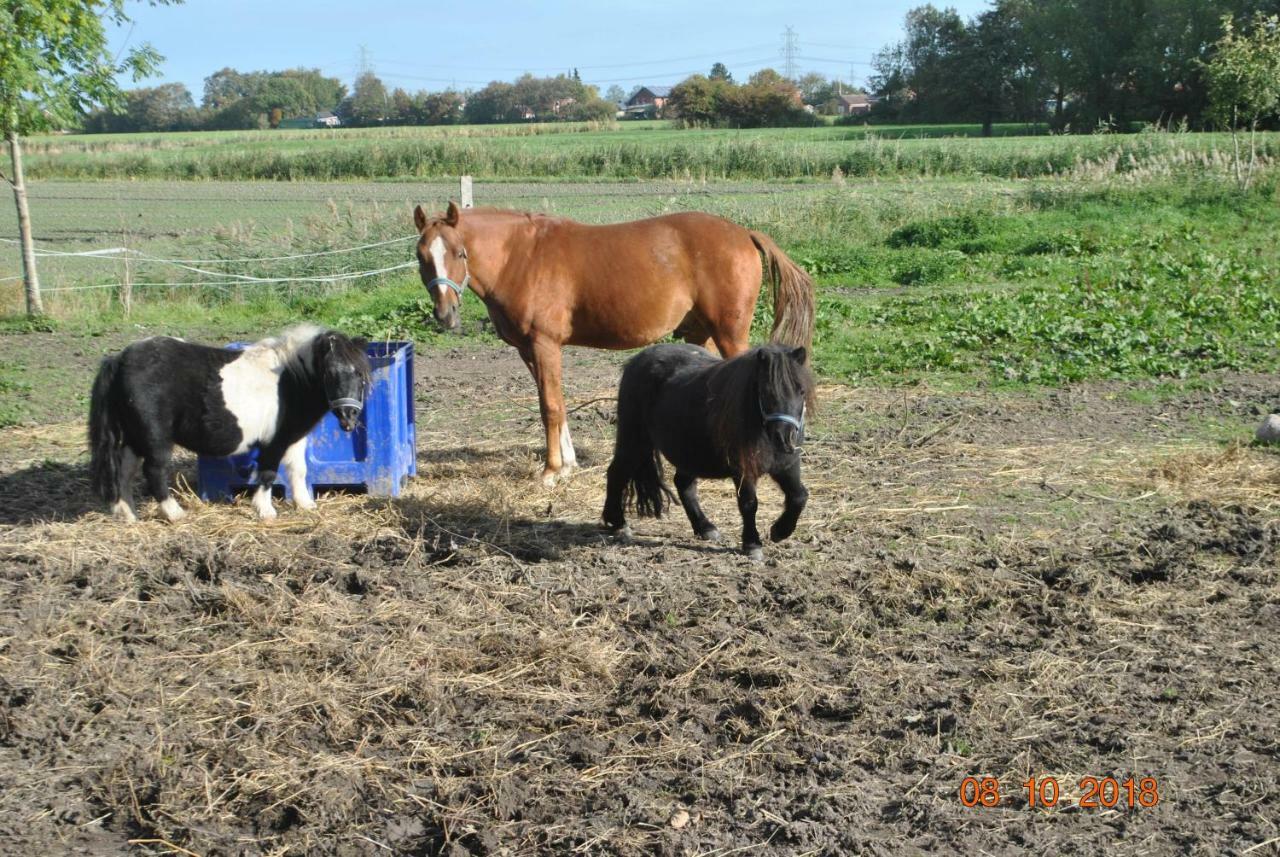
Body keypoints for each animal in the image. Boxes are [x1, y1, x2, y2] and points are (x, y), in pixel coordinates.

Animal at [88, 327, 371, 524]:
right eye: (330, 374)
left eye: (359, 373)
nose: (349, 417)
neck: (290, 380)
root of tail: (119, 360)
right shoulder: (274, 441)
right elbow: (268, 473)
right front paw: (265, 510)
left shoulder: (294, 437)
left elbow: (298, 470)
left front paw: (305, 504)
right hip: (154, 438)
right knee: (154, 471)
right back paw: (174, 513)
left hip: (134, 438)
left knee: (124, 472)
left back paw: (127, 513)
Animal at [414, 198, 814, 486]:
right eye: (421, 257)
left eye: (460, 253)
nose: (445, 314)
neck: (521, 255)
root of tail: (743, 233)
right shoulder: (529, 350)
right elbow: (556, 402)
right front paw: (568, 464)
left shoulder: (544, 345)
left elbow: (550, 408)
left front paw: (550, 472)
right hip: (699, 334)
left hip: (729, 334)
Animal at [604, 342, 814, 562]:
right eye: (766, 393)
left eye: (801, 391)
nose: (785, 438)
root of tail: (637, 359)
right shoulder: (743, 470)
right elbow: (749, 504)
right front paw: (752, 544)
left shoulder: (787, 466)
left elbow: (799, 496)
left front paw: (779, 532)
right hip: (635, 442)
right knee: (616, 474)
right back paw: (618, 524)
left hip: (687, 453)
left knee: (683, 485)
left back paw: (705, 527)